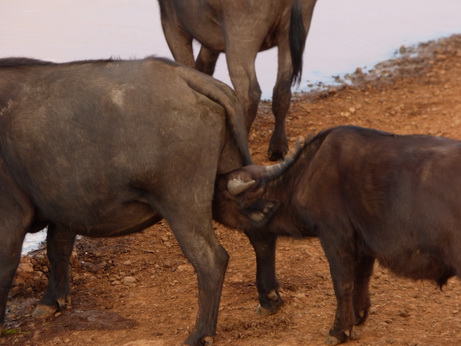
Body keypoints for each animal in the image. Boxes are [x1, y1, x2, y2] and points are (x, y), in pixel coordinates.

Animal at [0, 56, 252, 346]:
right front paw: (52, 301)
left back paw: (201, 334)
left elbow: (6, 267)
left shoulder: (10, 219)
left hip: (184, 203)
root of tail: (183, 76)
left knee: (211, 260)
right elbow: (58, 248)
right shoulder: (62, 206)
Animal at [157, 0, 316, 159]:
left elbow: (187, 66)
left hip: (239, 39)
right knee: (282, 90)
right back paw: (278, 148)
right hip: (291, 32)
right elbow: (204, 66)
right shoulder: (211, 39)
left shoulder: (172, 24)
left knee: (250, 94)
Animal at [214, 125, 460, 344]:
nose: (213, 180)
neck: (304, 176)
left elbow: (342, 283)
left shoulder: (334, 236)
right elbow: (362, 277)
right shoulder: (363, 243)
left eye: (223, 190)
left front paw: (339, 330)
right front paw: (358, 315)